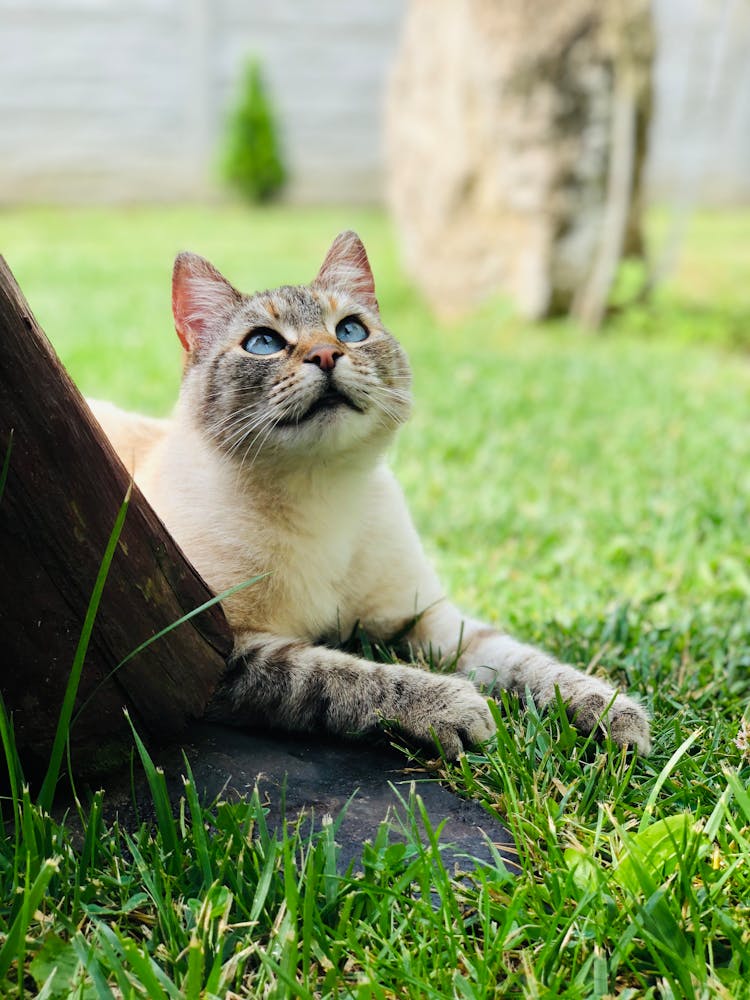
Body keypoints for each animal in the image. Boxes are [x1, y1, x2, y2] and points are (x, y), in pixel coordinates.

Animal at [89, 229, 652, 756]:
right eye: (264, 343)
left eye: (351, 330)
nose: (325, 353)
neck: (321, 492)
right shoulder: (212, 654)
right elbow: (343, 675)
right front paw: (453, 708)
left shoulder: (428, 620)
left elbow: (525, 661)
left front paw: (610, 712)